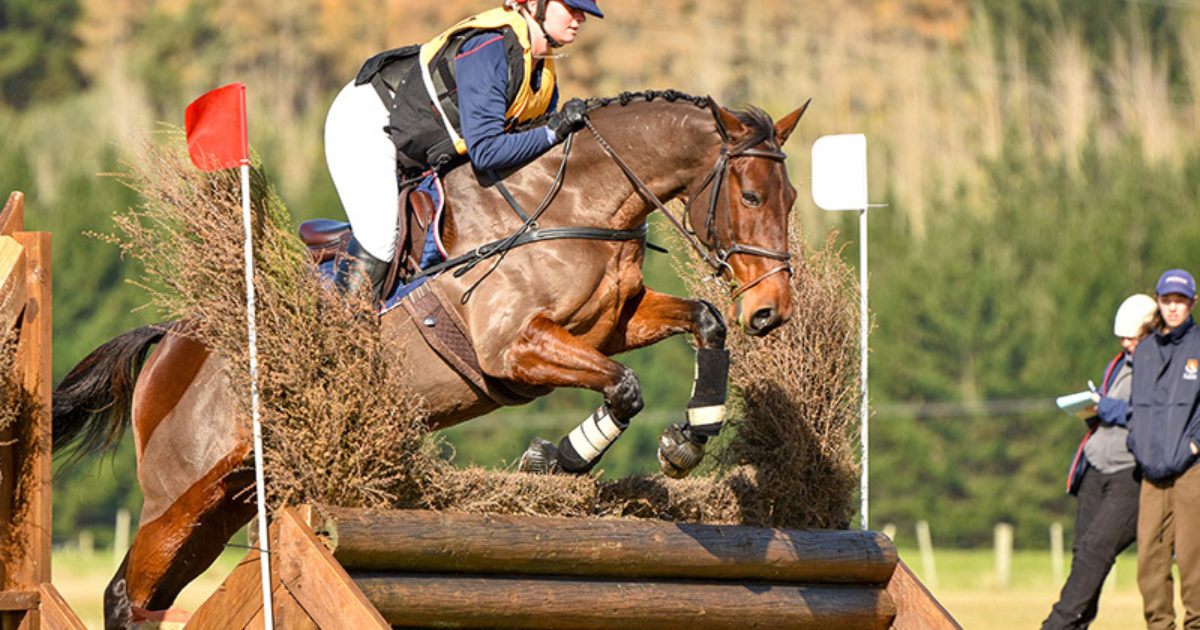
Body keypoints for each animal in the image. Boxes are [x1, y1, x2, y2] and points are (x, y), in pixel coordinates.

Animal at [53, 91, 808, 628]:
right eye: (749, 196)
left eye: (793, 197)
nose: (772, 311)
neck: (571, 202)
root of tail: (175, 339)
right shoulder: (515, 347)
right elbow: (623, 388)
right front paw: (554, 458)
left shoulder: (613, 325)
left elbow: (704, 324)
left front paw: (690, 436)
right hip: (178, 497)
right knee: (127, 594)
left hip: (228, 499)